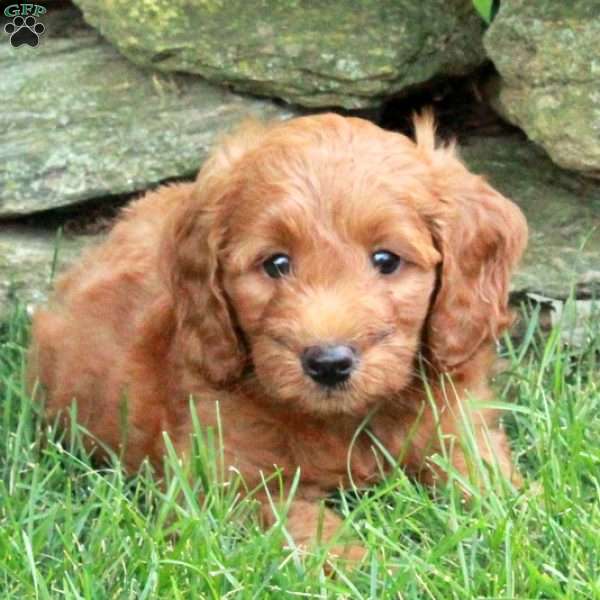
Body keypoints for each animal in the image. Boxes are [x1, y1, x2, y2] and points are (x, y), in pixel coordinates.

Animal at [30, 112, 528, 564]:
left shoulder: (458, 427)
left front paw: (519, 513)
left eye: (386, 260)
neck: (345, 422)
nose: (329, 363)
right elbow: (308, 525)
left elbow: (490, 482)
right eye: (276, 264)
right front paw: (369, 565)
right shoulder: (228, 485)